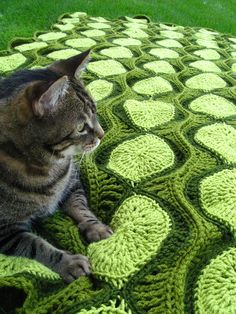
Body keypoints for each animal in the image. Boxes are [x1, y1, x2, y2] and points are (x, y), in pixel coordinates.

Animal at [0, 50, 113, 284]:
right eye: (81, 128)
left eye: (96, 112)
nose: (102, 134)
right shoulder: (6, 230)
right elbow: (36, 246)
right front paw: (68, 262)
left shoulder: (72, 184)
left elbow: (82, 208)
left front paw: (96, 228)